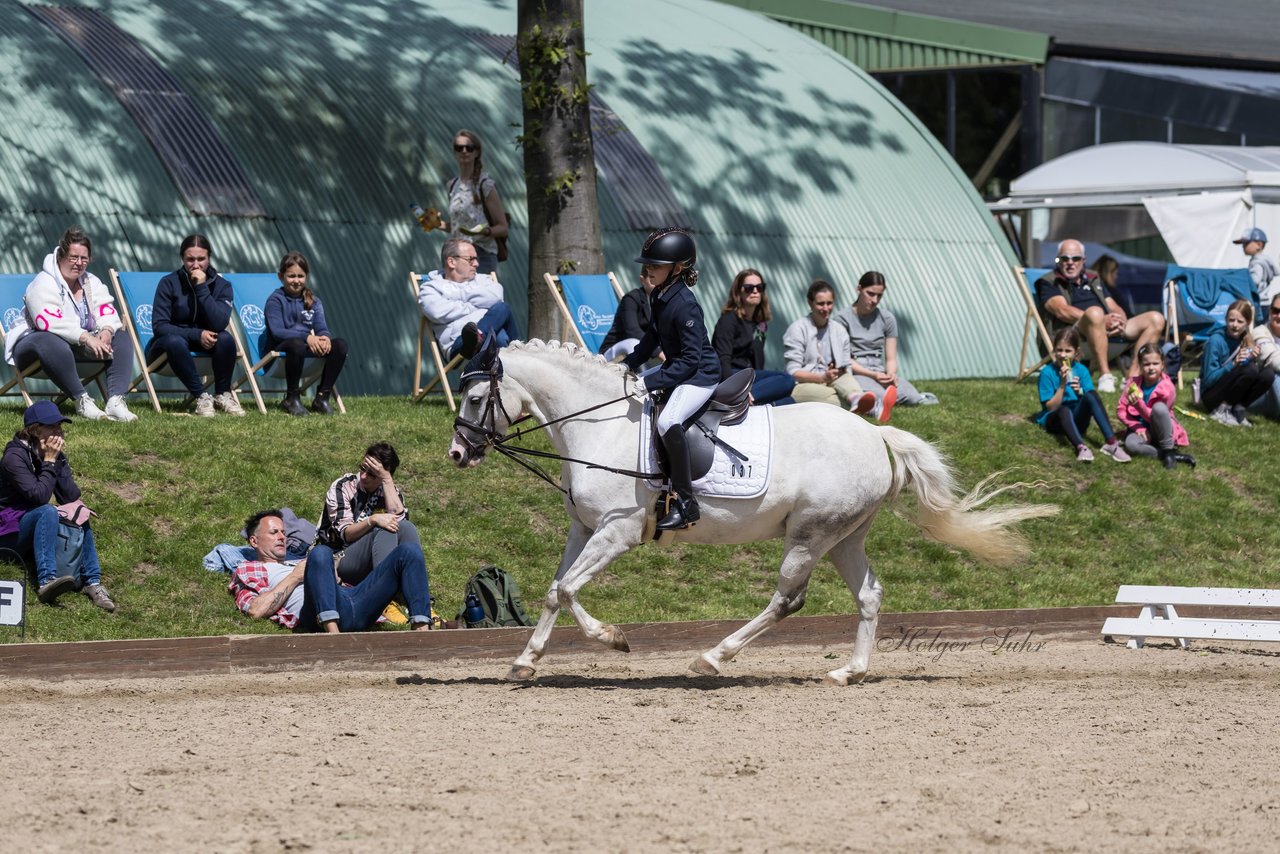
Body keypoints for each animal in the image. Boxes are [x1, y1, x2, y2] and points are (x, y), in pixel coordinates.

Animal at [445, 338, 1054, 686]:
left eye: (475, 399)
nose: (457, 454)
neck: (600, 425)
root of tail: (876, 434)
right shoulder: (584, 528)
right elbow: (555, 590)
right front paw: (525, 662)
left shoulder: (616, 533)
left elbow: (570, 590)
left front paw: (614, 639)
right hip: (844, 537)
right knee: (869, 595)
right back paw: (849, 672)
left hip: (810, 534)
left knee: (788, 599)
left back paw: (714, 658)